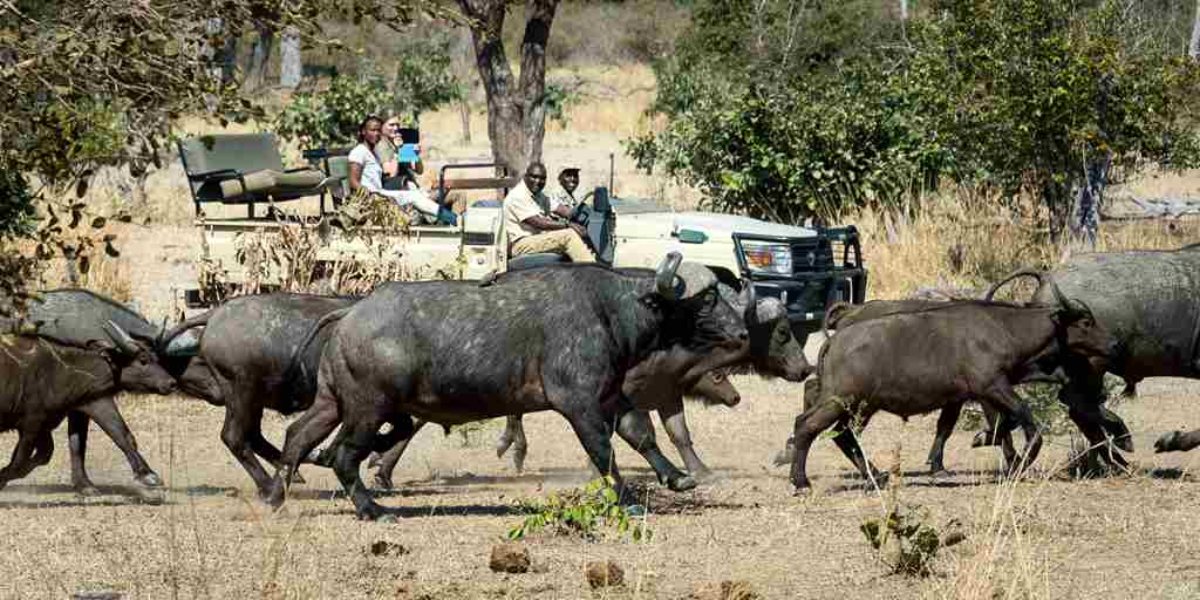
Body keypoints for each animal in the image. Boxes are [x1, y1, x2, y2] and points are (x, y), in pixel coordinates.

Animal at [266, 255, 787, 518]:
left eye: (719, 294)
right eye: (705, 300)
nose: (741, 333)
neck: (611, 308)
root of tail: (349, 313)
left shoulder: (611, 395)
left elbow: (640, 433)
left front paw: (676, 477)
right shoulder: (578, 402)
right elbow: (602, 451)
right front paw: (625, 499)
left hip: (332, 403)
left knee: (297, 436)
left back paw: (275, 495)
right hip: (367, 409)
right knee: (342, 456)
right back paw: (372, 508)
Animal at [787, 292, 1113, 489]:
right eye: (1086, 321)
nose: (1113, 345)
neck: (1003, 329)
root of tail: (837, 338)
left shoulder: (975, 394)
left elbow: (994, 424)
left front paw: (998, 453)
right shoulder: (992, 386)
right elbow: (1021, 415)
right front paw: (1023, 458)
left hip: (860, 405)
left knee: (842, 434)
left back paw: (875, 475)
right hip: (842, 400)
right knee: (807, 425)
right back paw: (801, 481)